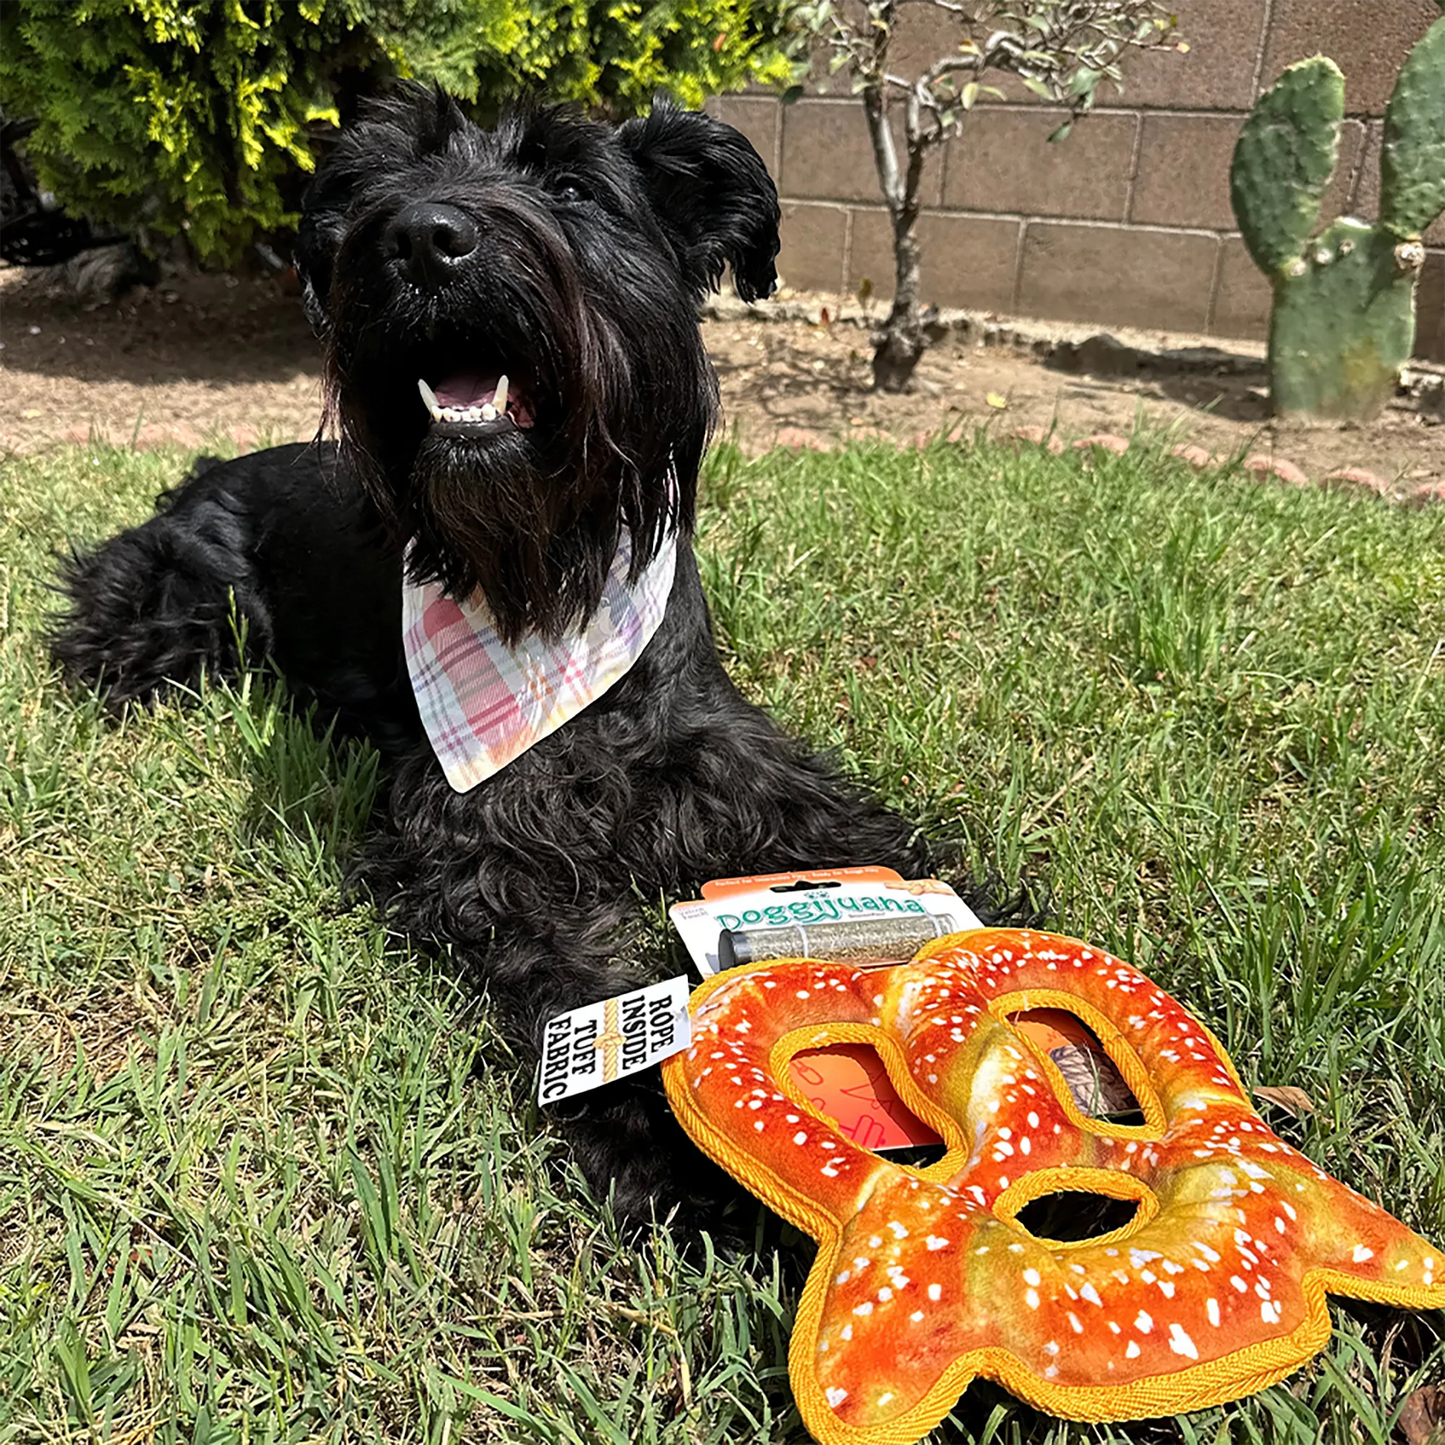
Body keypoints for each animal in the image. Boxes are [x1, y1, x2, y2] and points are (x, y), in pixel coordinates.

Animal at [53, 87, 994, 1219]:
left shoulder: (735, 760)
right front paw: (667, 1133)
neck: (548, 581)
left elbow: (882, 853)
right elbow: (565, 975)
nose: (422, 238)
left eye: (572, 186)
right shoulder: (479, 831)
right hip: (183, 601)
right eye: (389, 183)